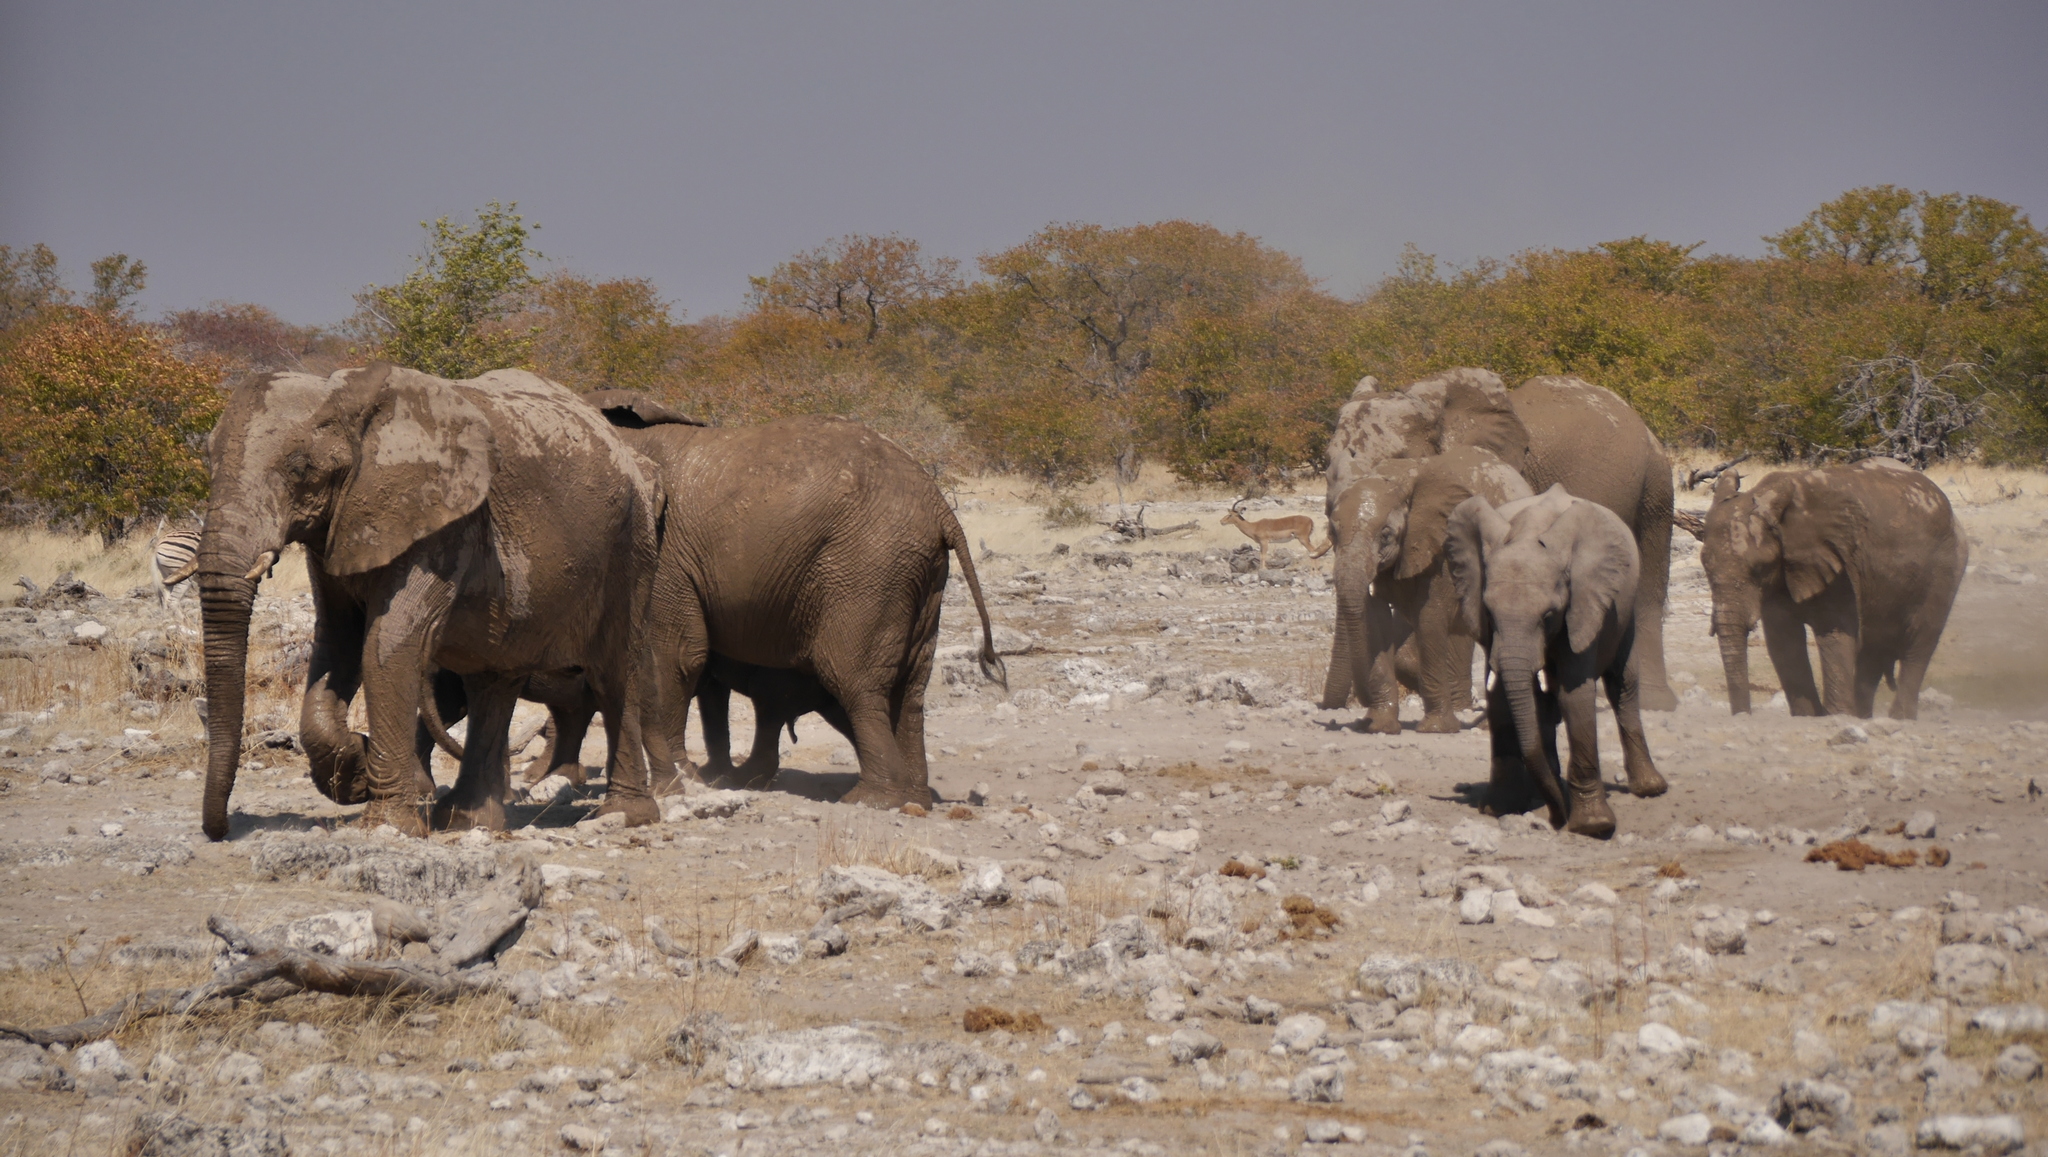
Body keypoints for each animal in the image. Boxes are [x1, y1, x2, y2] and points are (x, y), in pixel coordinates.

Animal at [187, 364, 663, 840]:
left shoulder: (440, 523)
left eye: (301, 467)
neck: (349, 395)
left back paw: (624, 816)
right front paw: (354, 771)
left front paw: (385, 823)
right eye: (208, 461)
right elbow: (337, 641)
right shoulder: (341, 526)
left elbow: (387, 644)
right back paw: (466, 819)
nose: (220, 829)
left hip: (631, 546)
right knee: (492, 682)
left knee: (613, 674)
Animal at [1324, 445, 1532, 733]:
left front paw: (1436, 728)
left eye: (1386, 535)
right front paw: (1380, 726)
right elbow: (1375, 619)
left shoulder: (1444, 545)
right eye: (1332, 532)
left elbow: (1430, 617)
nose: (1359, 714)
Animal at [1446, 486, 1667, 838]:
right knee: (1545, 704)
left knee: (1622, 684)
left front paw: (1593, 826)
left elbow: (1573, 693)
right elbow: (1501, 696)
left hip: (1622, 609)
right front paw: (1501, 808)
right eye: (1490, 613)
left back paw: (1648, 788)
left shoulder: (1583, 603)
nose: (1556, 819)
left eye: (1548, 615)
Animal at [1693, 459, 1966, 719]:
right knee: (1873, 653)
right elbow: (1784, 639)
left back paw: (1899, 718)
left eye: (1759, 567)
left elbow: (1834, 634)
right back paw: (1863, 717)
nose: (1743, 715)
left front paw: (1837, 716)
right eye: (1705, 566)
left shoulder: (1840, 565)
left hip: (1945, 569)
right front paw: (1810, 717)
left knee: (1919, 644)